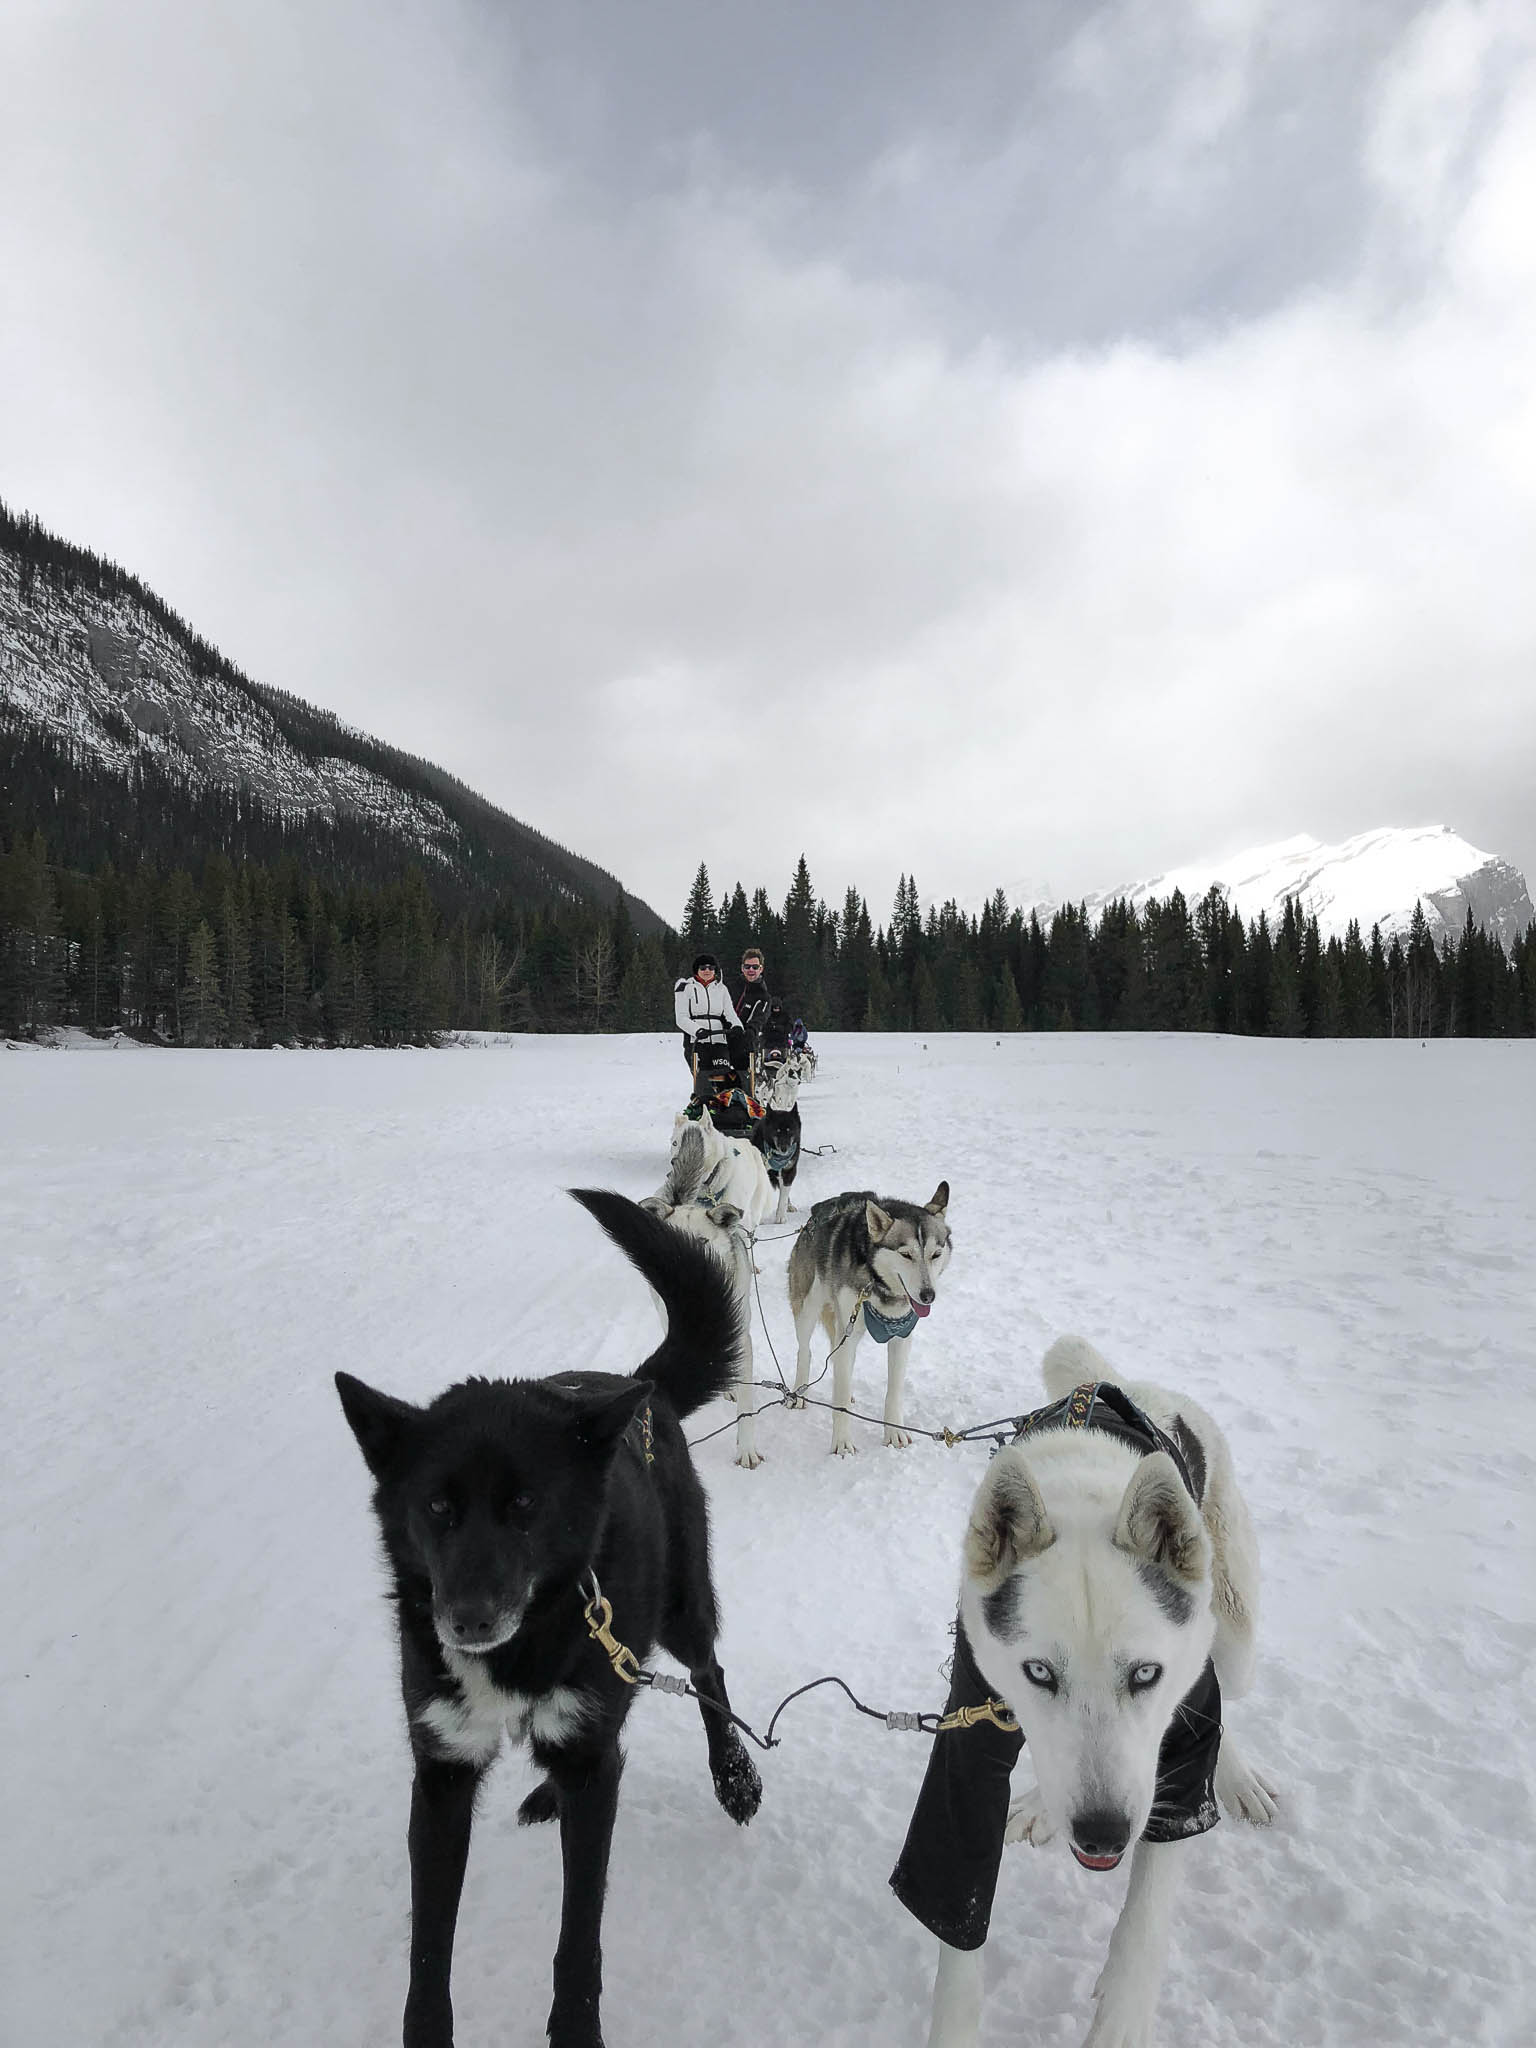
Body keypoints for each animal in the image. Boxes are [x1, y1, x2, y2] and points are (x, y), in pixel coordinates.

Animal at [339, 1196, 765, 2048]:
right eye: (437, 1506)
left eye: (526, 1505)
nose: (466, 1621)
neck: (526, 1648)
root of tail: (634, 1387)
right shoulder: (442, 1774)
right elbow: (428, 1949)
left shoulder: (592, 1764)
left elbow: (579, 1934)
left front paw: (575, 2029)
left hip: (680, 1611)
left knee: (709, 1670)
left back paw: (734, 1776)